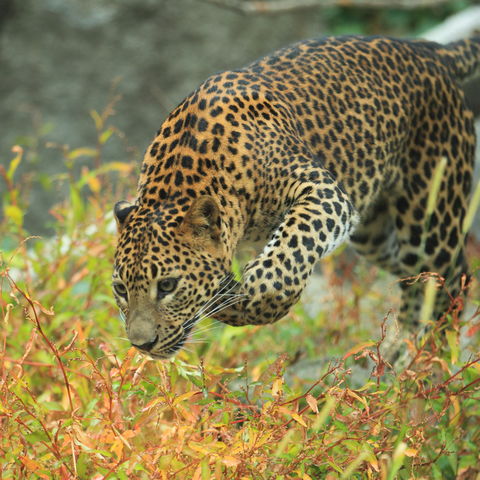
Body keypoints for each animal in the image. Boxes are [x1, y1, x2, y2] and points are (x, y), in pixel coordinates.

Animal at [110, 35, 478, 360]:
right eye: (120, 289)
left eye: (168, 285)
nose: (142, 345)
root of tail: (431, 51)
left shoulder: (322, 191)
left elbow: (289, 252)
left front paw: (245, 298)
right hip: (378, 237)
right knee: (415, 281)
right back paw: (403, 350)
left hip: (429, 221)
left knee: (452, 277)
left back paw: (431, 355)